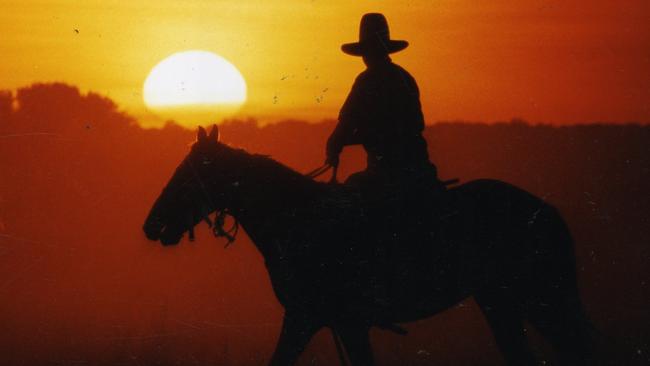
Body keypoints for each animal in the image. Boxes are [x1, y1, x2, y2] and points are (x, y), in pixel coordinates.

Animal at [143, 126, 592, 366]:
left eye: (188, 172)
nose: (152, 225)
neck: (298, 219)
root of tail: (545, 211)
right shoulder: (341, 323)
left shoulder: (311, 317)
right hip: (500, 299)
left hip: (539, 297)